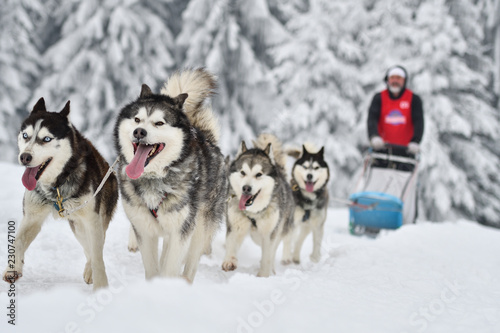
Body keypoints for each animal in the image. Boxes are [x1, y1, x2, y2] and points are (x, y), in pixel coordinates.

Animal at [2, 98, 117, 288]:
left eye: (46, 139)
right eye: (25, 135)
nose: (24, 157)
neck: (56, 185)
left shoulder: (92, 219)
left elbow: (97, 256)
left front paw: (101, 286)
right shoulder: (32, 217)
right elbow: (17, 241)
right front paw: (13, 269)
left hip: (91, 221)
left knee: (95, 248)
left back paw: (90, 271)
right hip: (78, 227)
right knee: (88, 248)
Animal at [114, 68, 228, 282]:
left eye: (159, 123)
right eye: (137, 119)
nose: (139, 132)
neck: (155, 178)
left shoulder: (180, 232)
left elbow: (170, 268)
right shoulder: (144, 230)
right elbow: (152, 269)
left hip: (199, 228)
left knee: (190, 264)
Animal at [222, 134, 294, 276]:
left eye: (259, 174)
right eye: (243, 172)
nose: (246, 188)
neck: (253, 213)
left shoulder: (270, 234)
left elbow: (267, 256)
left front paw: (264, 275)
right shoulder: (236, 225)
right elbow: (232, 243)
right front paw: (230, 261)